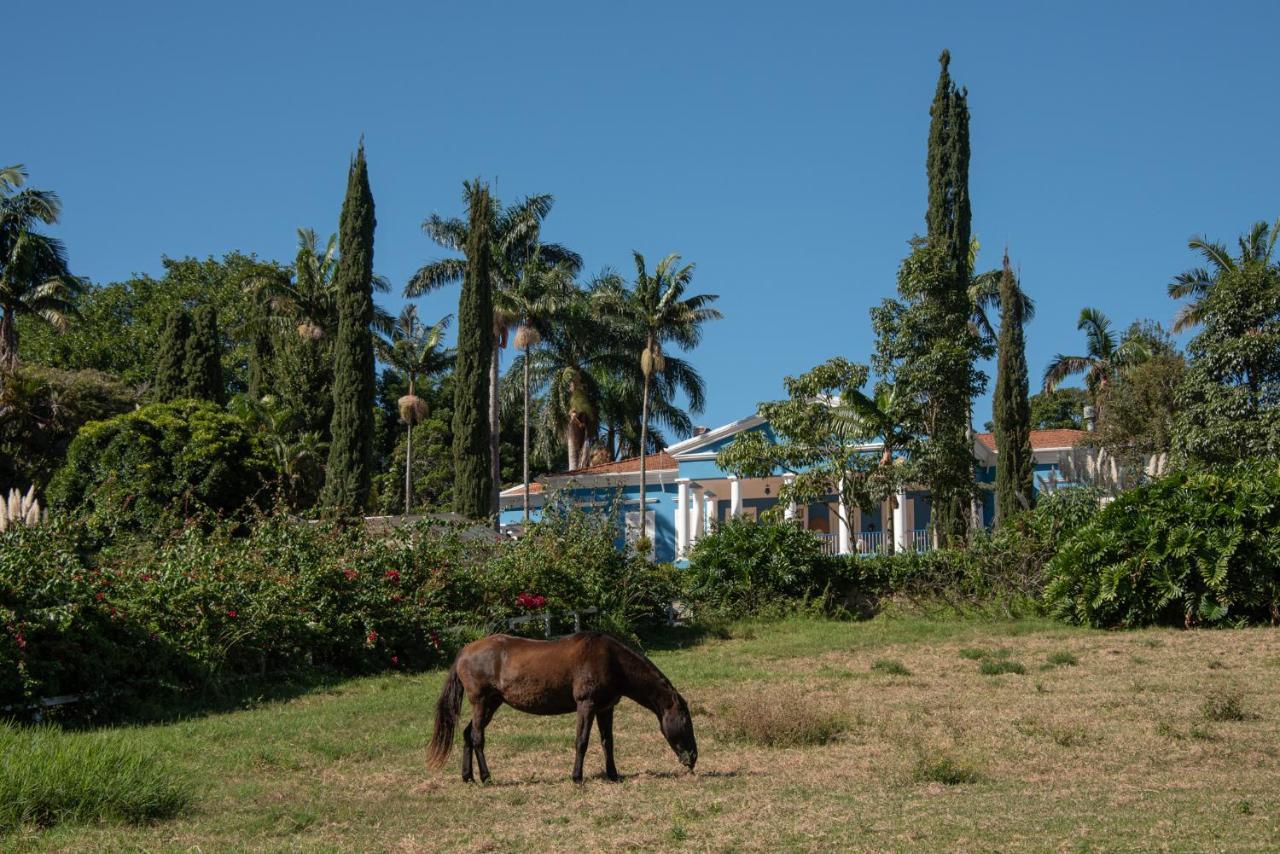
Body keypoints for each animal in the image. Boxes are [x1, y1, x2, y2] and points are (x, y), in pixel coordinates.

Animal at [424, 632, 696, 783]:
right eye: (686, 720)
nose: (693, 758)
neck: (612, 660)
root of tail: (464, 652)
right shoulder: (586, 705)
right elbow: (582, 742)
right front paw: (576, 777)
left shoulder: (605, 709)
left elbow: (607, 742)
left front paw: (613, 775)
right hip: (481, 702)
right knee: (478, 738)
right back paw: (486, 777)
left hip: (492, 703)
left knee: (468, 734)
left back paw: (467, 777)